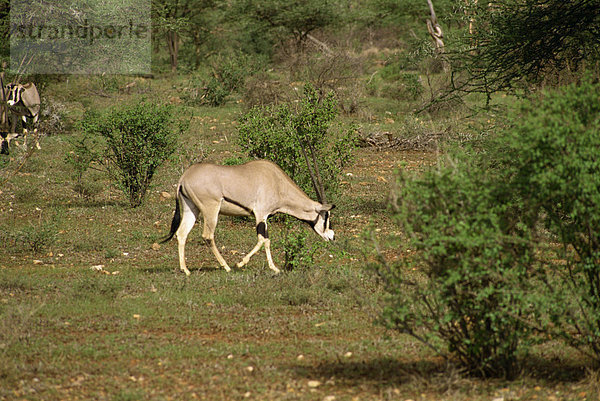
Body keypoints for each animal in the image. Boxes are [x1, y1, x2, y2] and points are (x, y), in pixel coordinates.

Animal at [162, 159, 336, 276]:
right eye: (326, 216)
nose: (332, 237)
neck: (277, 182)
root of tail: (184, 177)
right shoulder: (260, 214)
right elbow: (262, 240)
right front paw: (240, 263)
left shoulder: (264, 217)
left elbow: (267, 241)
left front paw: (274, 268)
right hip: (211, 210)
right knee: (208, 236)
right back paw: (227, 266)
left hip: (191, 209)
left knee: (182, 233)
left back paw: (185, 269)